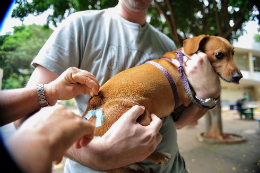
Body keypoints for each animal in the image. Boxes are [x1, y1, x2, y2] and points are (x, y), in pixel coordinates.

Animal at [81, 34, 242, 172]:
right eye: (219, 55)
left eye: (233, 53)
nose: (239, 76)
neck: (182, 58)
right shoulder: (188, 96)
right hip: (141, 117)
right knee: (136, 153)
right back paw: (159, 157)